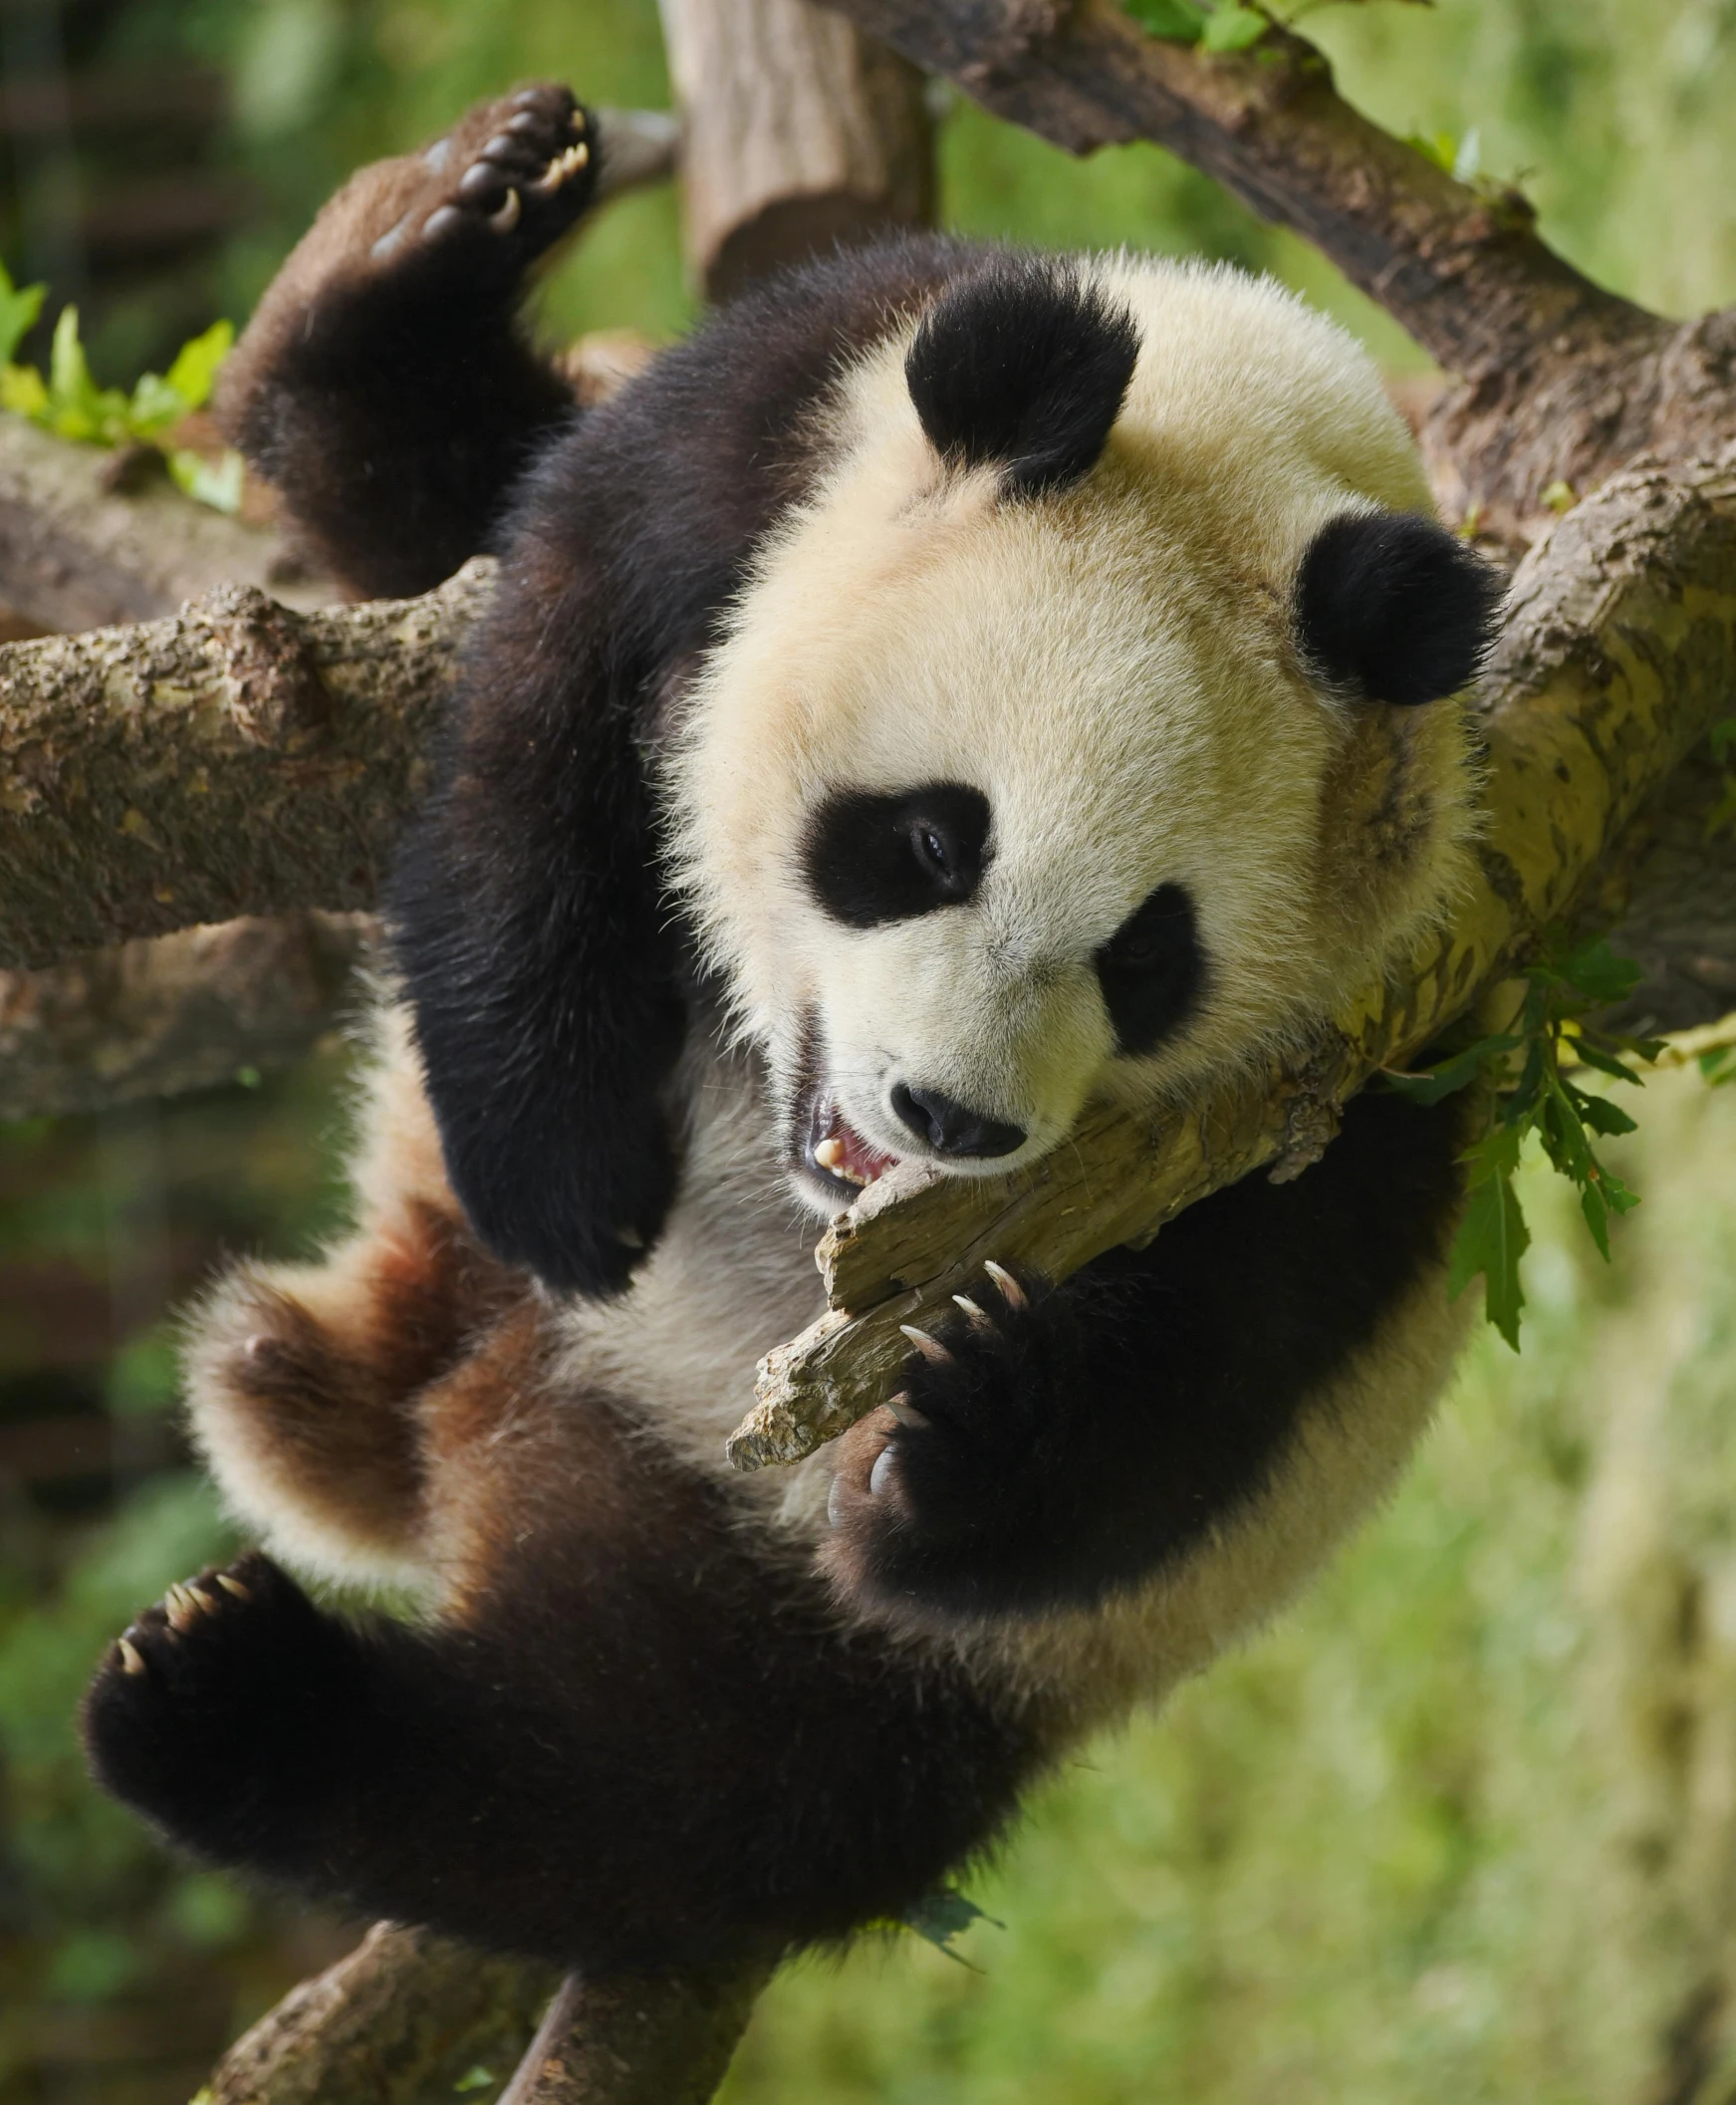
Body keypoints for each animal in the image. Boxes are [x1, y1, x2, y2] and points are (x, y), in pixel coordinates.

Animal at [81, 86, 1498, 1970]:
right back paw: (437, 230)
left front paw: (967, 1425)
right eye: (931, 840)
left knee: (633, 1781)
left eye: (1147, 959)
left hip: (795, 1609)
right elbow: (532, 739)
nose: (948, 1117)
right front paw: (568, 1185)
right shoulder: (760, 432)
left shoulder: (1391, 1019)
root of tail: (458, 1386)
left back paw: (227, 1701)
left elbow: (1232, 1350)